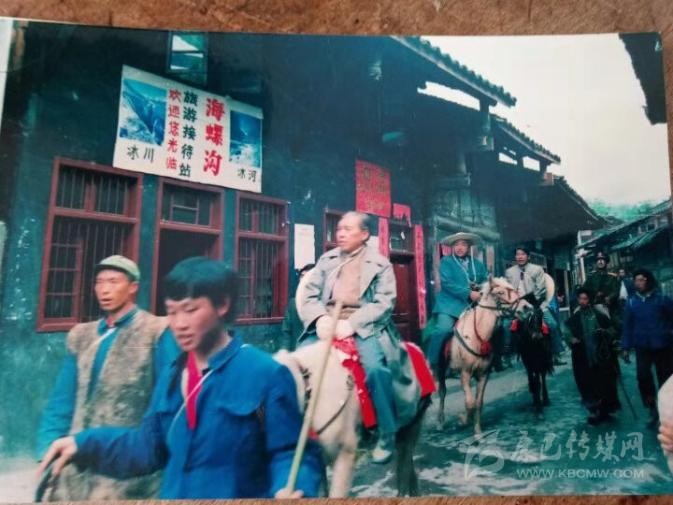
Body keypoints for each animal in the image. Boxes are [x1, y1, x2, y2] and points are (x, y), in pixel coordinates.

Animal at [436, 277, 528, 434]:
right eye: (500, 292)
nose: (527, 308)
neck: (477, 335)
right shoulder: (465, 373)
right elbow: (470, 402)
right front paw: (463, 421)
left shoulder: (484, 374)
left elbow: (478, 402)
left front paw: (477, 429)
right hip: (440, 371)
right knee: (442, 393)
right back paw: (440, 423)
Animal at [511, 274, 556, 415]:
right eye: (528, 317)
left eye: (540, 314)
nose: (538, 336)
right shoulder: (528, 360)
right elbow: (533, 379)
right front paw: (536, 403)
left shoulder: (541, 358)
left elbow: (539, 377)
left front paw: (540, 404)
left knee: (542, 375)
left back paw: (545, 399)